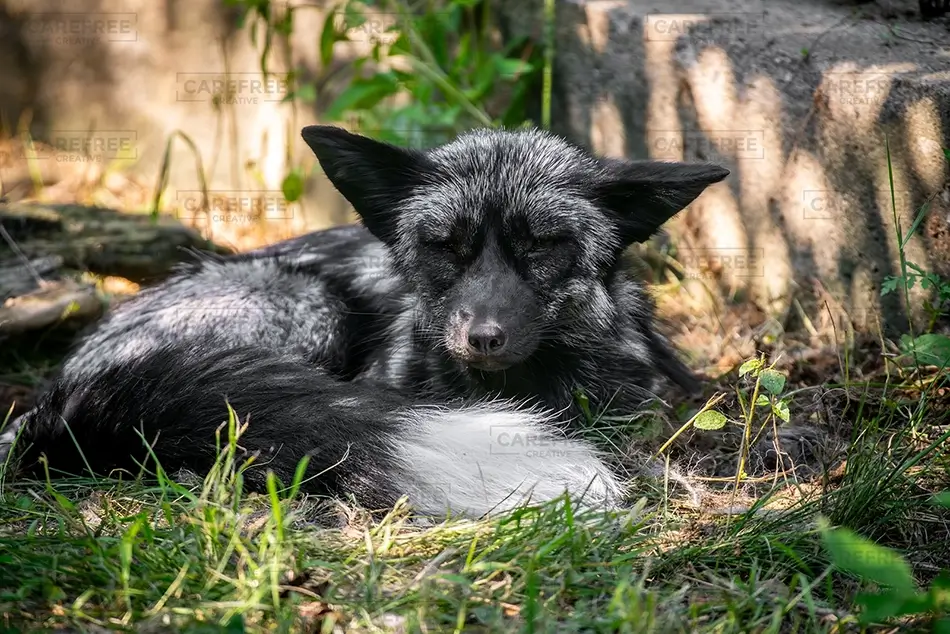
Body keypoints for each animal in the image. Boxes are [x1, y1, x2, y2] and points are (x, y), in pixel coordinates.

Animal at [0, 125, 728, 518]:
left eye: (544, 244)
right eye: (444, 246)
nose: (482, 338)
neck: (518, 392)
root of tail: (64, 389)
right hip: (309, 311)